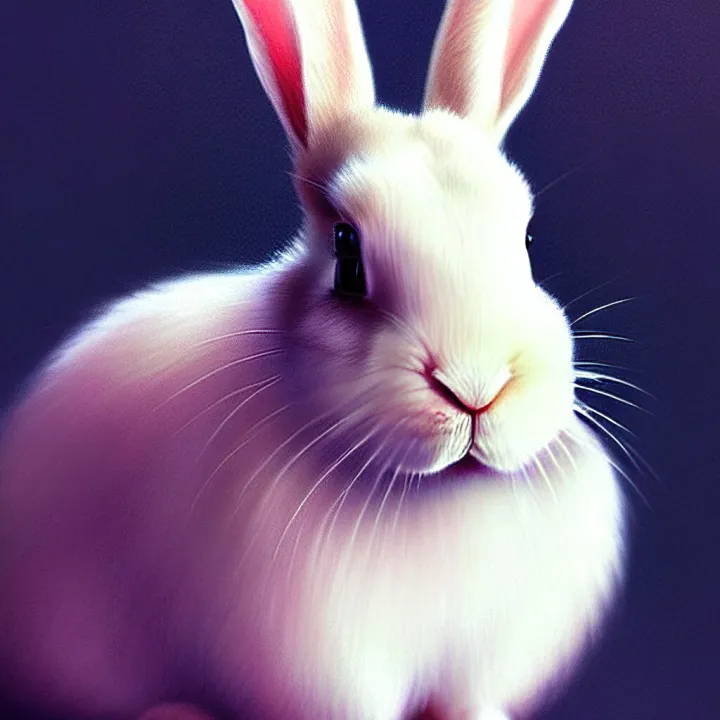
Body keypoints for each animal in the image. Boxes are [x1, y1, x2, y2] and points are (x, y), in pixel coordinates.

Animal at [0, 1, 626, 719]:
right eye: (347, 254)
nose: (476, 387)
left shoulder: (472, 667)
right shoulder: (328, 671)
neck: (432, 490)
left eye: (525, 240)